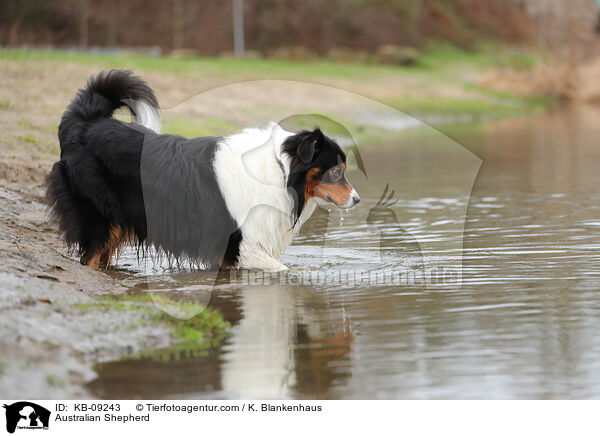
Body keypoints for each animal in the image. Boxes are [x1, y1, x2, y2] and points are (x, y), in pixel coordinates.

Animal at [45, 70, 360, 270]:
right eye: (336, 171)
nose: (357, 200)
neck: (281, 171)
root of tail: (86, 121)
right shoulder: (240, 243)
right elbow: (283, 270)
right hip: (100, 218)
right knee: (89, 258)